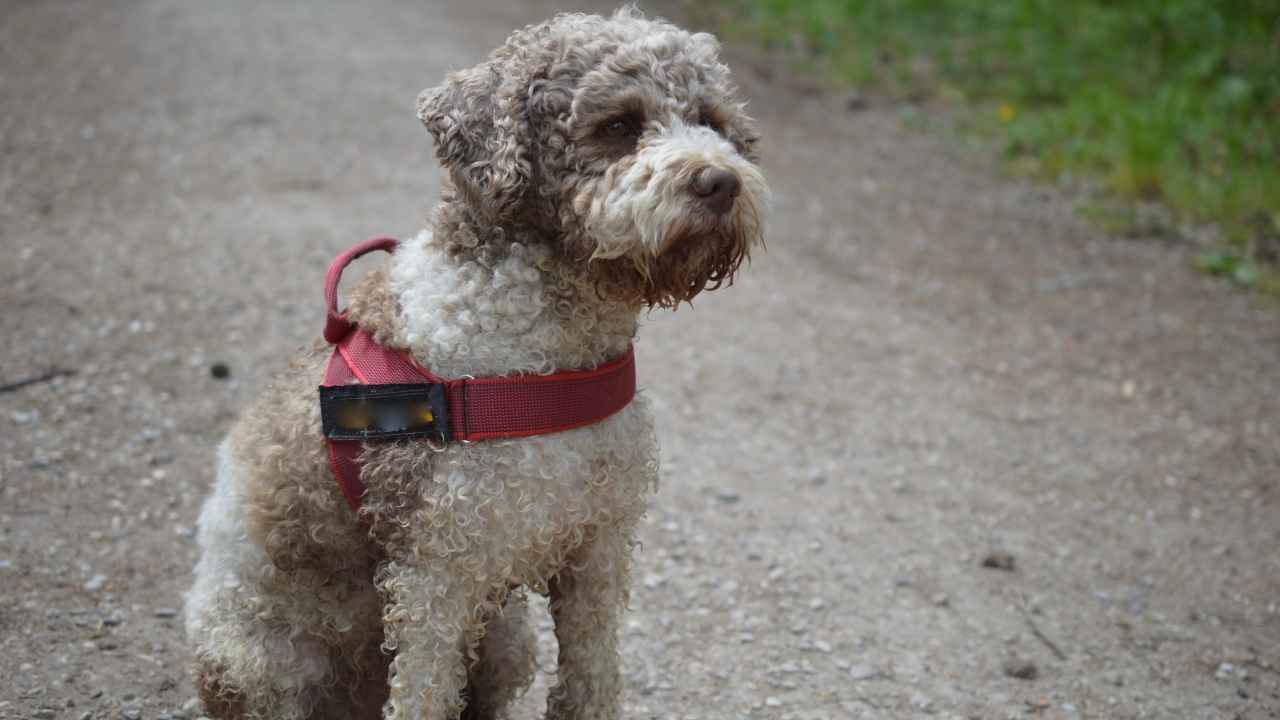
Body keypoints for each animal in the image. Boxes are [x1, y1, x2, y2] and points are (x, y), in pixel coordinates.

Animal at [184, 7, 762, 717]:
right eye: (619, 125)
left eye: (711, 120)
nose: (720, 181)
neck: (543, 364)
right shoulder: (437, 572)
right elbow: (423, 694)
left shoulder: (598, 547)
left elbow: (591, 679)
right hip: (259, 662)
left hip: (506, 636)